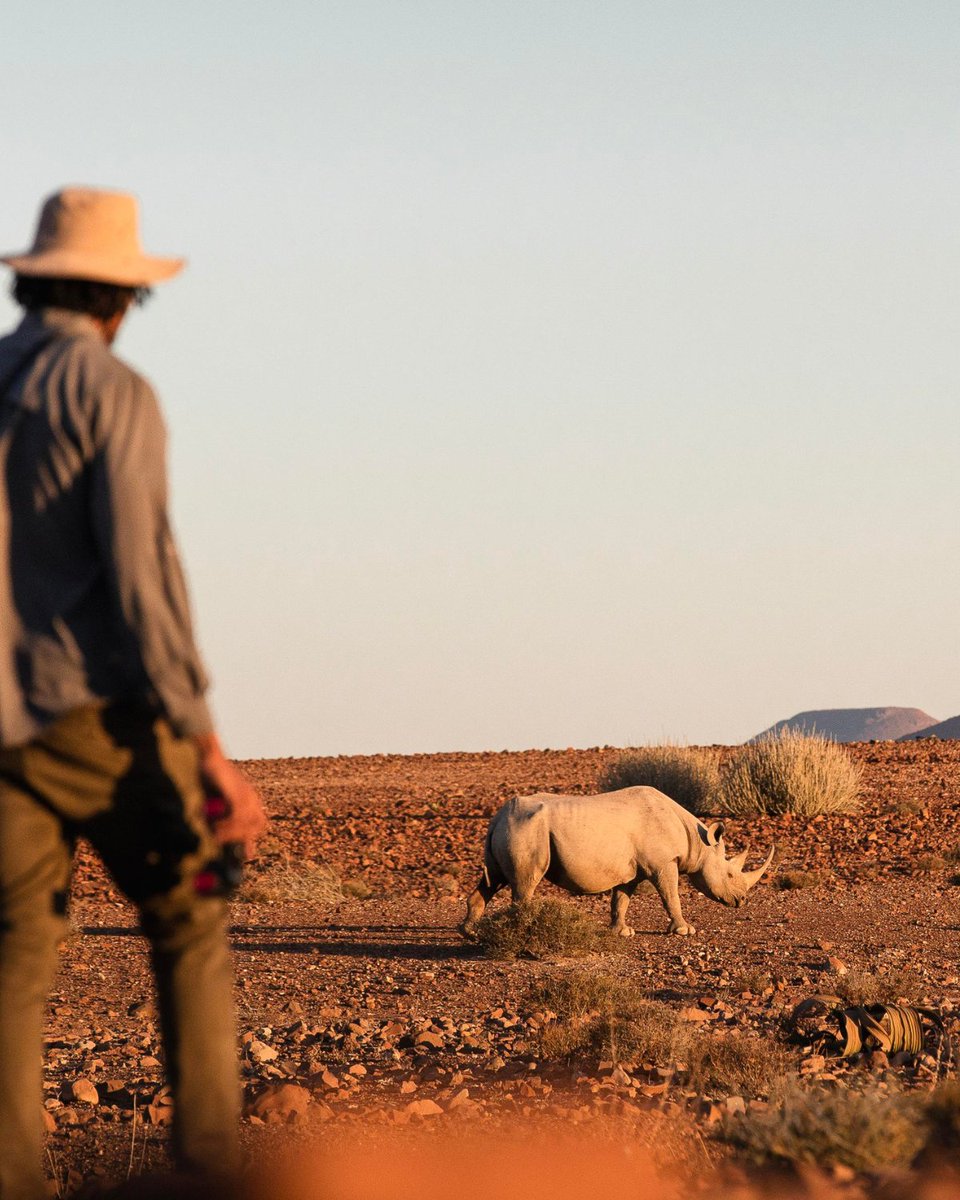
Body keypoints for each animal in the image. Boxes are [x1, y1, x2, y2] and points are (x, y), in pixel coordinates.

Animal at [461, 786, 774, 938]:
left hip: (511, 828)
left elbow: (621, 899)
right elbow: (670, 895)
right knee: (525, 883)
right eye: (730, 875)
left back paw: (470, 933)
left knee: (494, 879)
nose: (741, 901)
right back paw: (525, 932)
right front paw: (685, 931)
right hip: (526, 829)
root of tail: (498, 817)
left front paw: (622, 932)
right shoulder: (663, 863)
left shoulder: (632, 871)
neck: (697, 842)